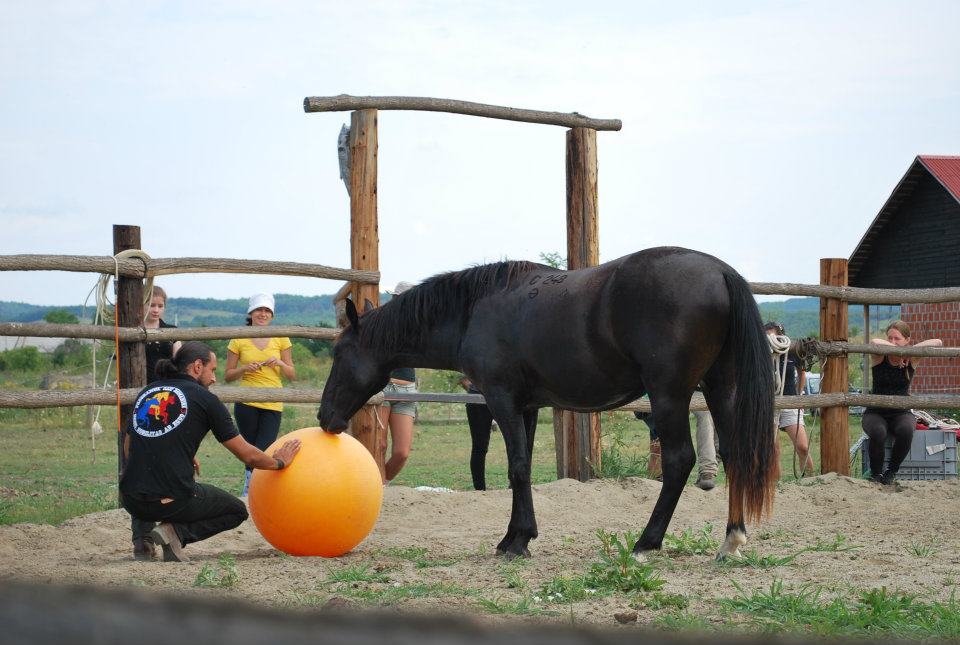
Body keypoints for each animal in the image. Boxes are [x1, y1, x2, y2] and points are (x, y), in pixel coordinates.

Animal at [318, 247, 776, 560]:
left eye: (340, 353)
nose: (324, 417)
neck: (473, 311)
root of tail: (720, 271)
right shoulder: (528, 407)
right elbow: (521, 472)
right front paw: (518, 534)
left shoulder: (502, 401)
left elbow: (517, 468)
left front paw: (516, 541)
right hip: (720, 389)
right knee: (736, 453)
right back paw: (732, 539)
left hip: (669, 396)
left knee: (679, 460)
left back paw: (646, 542)